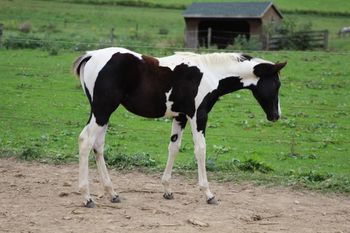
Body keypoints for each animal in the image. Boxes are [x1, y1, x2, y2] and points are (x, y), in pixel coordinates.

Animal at [72, 46, 286, 207]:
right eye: (276, 85)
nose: (276, 116)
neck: (211, 74)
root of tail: (90, 55)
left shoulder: (180, 117)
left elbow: (173, 148)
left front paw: (167, 190)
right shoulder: (198, 115)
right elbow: (200, 150)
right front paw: (208, 194)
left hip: (103, 113)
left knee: (98, 145)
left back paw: (112, 193)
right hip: (103, 110)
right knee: (85, 141)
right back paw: (87, 197)